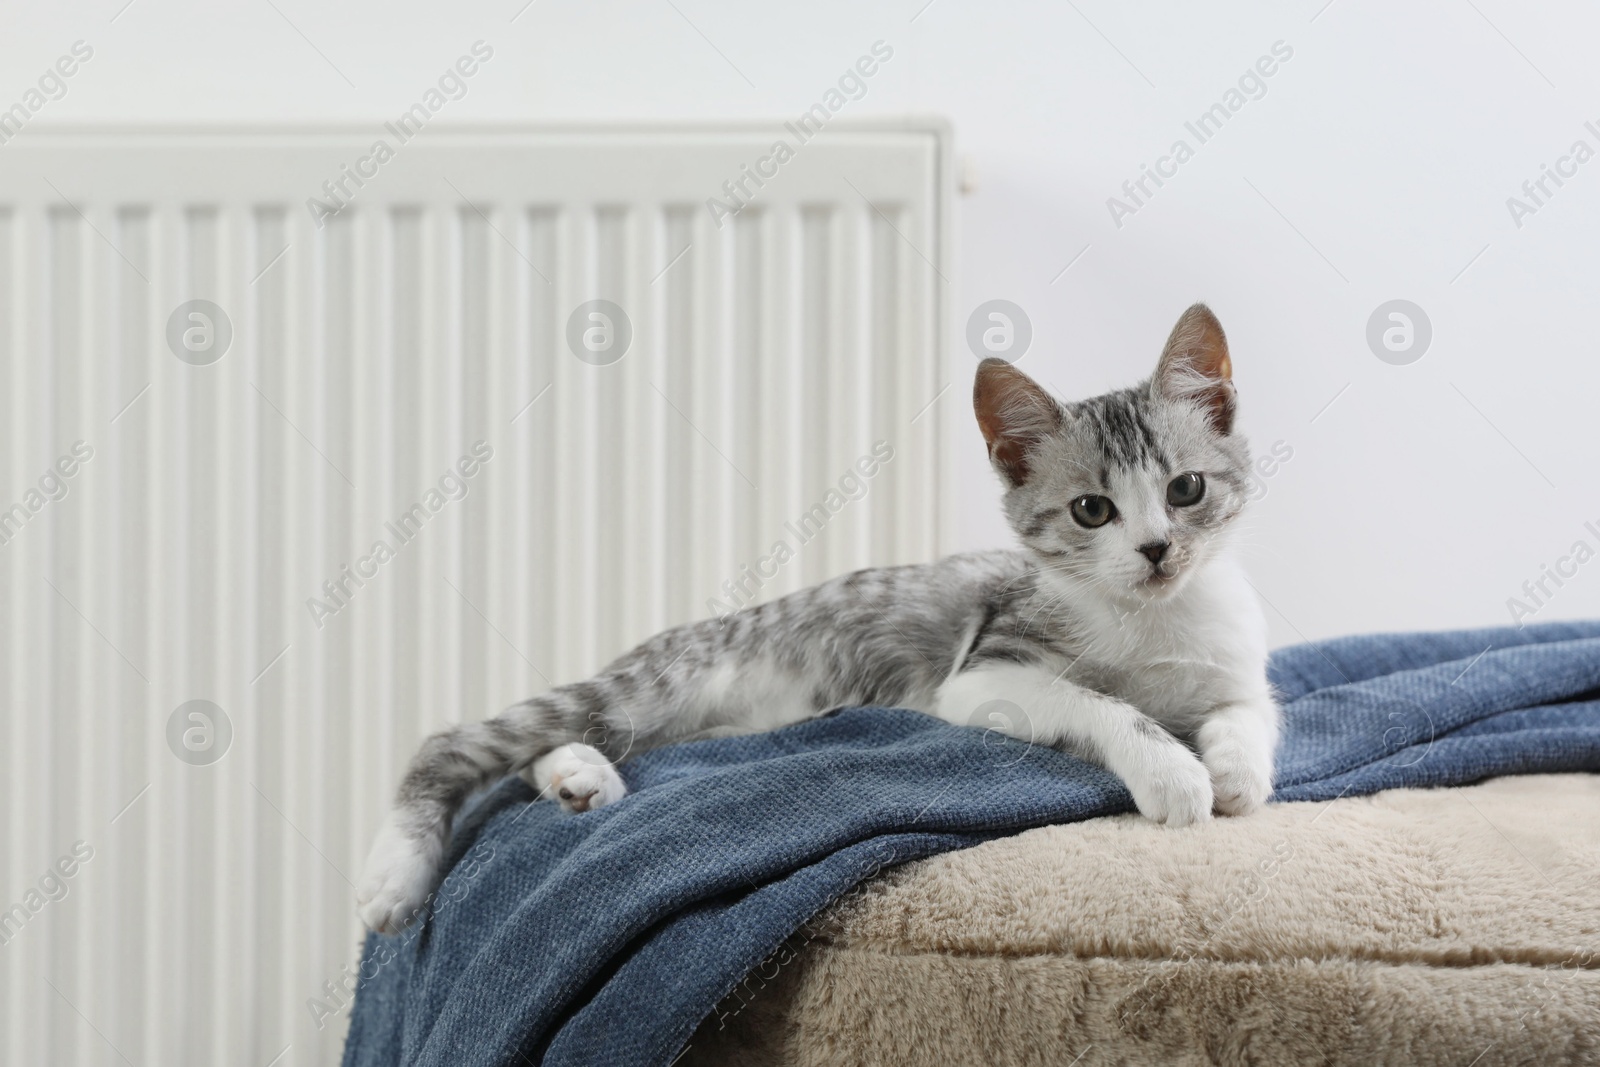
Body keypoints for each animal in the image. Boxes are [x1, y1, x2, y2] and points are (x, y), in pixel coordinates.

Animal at [360, 302, 1273, 934]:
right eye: (1091, 510)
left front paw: (1237, 769)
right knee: (461, 743)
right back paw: (397, 875)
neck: (1155, 620)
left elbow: (1251, 710)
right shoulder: (984, 672)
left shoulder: (1236, 660)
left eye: (1187, 488)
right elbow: (1099, 702)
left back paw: (578, 778)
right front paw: (1173, 771)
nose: (1156, 550)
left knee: (550, 750)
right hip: (652, 686)